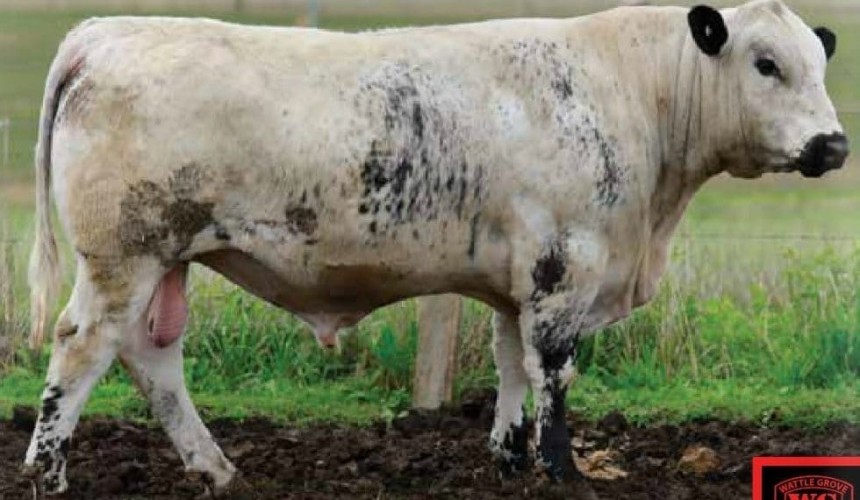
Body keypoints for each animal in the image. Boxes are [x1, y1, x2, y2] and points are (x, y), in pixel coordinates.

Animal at [23, 0, 846, 496]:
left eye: (818, 61)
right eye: (766, 63)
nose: (832, 145)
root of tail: (106, 31)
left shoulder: (521, 279)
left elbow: (511, 366)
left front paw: (509, 460)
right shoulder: (565, 268)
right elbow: (554, 373)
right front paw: (562, 470)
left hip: (164, 262)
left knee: (152, 356)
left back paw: (217, 468)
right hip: (123, 256)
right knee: (81, 347)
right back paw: (48, 472)